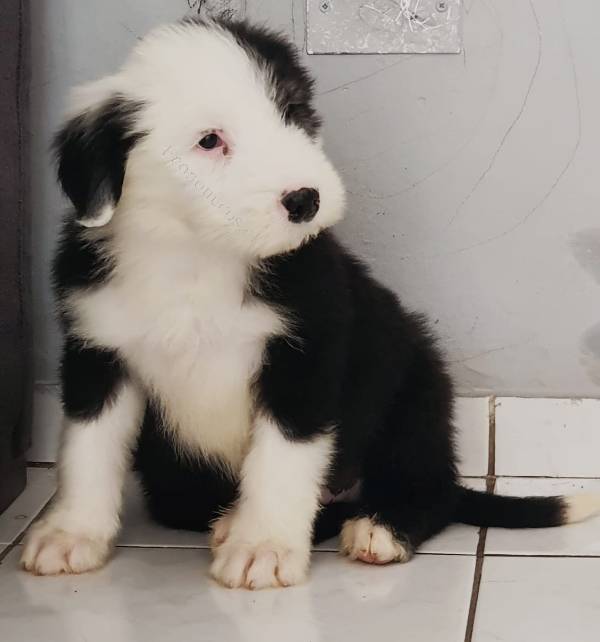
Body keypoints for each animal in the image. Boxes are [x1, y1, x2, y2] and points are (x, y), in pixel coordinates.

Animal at [23, 17, 600, 588]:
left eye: (294, 112)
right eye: (209, 140)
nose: (306, 200)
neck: (198, 256)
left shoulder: (307, 351)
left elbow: (281, 458)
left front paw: (262, 546)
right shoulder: (97, 350)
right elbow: (87, 446)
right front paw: (70, 534)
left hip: (416, 387)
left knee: (430, 488)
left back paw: (381, 526)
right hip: (175, 480)